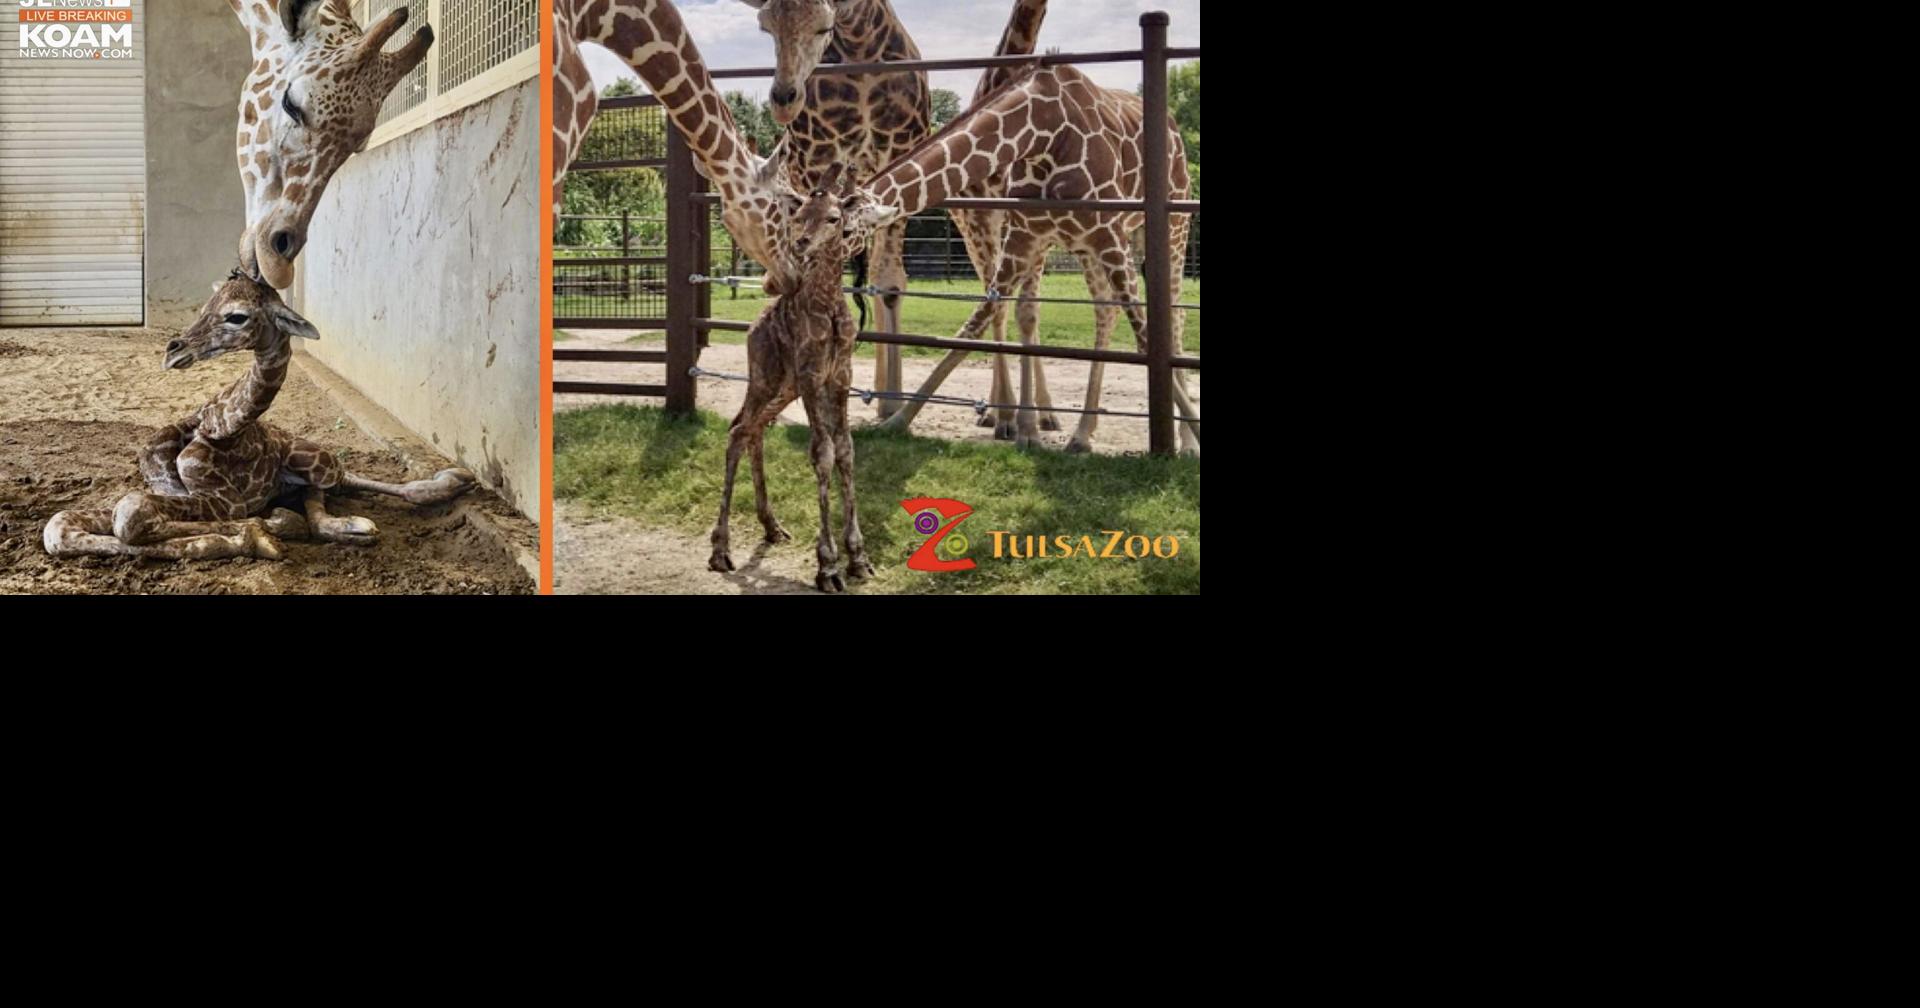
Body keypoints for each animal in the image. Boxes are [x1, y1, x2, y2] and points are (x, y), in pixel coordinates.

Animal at [42, 272, 477, 562]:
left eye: (237, 316)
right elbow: (62, 526)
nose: (172, 351)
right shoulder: (177, 493)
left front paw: (263, 531)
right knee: (319, 503)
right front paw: (261, 532)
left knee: (340, 482)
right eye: (205, 307)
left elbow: (130, 514)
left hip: (316, 460)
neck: (223, 427)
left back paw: (450, 482)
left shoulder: (224, 501)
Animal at [706, 164, 901, 592]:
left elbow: (845, 449)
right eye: (798, 217)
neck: (827, 307)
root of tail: (752, 327)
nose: (802, 242)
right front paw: (827, 565)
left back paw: (772, 527)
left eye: (834, 218)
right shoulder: (812, 376)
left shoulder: (841, 377)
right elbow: (822, 453)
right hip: (765, 378)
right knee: (737, 431)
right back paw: (720, 550)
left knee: (751, 430)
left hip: (784, 387)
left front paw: (859, 558)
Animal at [738, 0, 930, 420]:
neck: (861, 48)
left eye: (823, 27)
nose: (784, 100)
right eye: (765, 28)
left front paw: (892, 403)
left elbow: (889, 282)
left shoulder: (899, 151)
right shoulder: (818, 159)